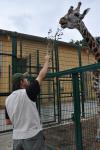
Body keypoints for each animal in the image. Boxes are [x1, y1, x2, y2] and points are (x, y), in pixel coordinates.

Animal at [59, 1, 100, 142]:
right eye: (67, 11)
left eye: (77, 14)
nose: (61, 21)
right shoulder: (97, 89)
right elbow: (99, 110)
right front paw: (98, 136)